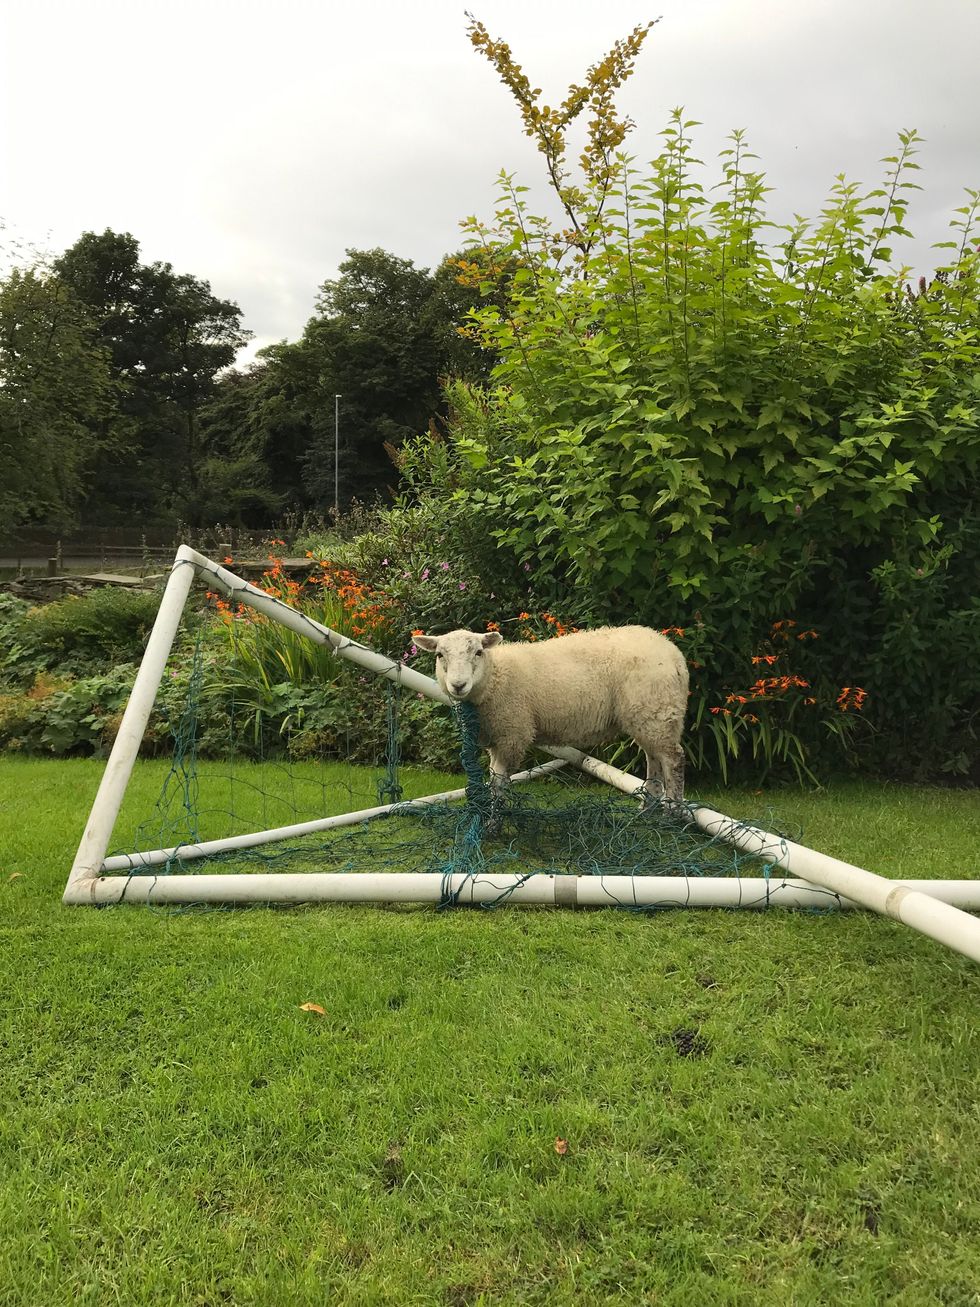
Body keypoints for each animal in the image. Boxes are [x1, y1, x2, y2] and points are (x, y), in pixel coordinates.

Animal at [413, 626, 688, 803]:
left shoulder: (513, 734)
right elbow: (492, 777)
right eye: (439, 655)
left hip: (658, 711)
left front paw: (494, 822)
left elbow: (499, 782)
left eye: (478, 652)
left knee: (673, 759)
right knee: (654, 759)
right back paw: (648, 807)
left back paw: (672, 813)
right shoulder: (497, 737)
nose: (458, 685)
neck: (496, 676)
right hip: (650, 716)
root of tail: (675, 655)